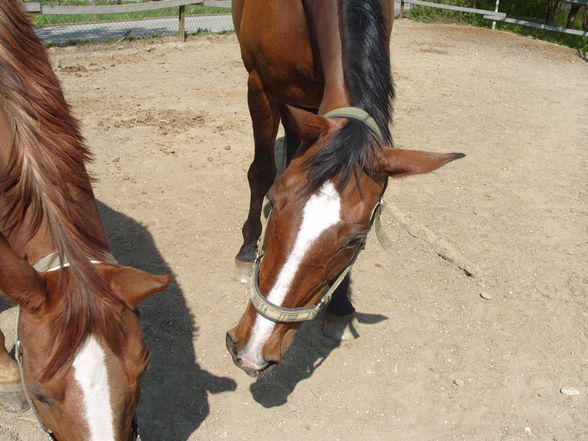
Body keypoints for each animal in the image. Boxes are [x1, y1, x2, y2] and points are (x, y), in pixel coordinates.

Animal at [226, 0, 464, 374]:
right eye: (274, 204)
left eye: (357, 239)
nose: (251, 352)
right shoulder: (260, 86)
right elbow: (262, 172)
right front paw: (248, 250)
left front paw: (340, 305)